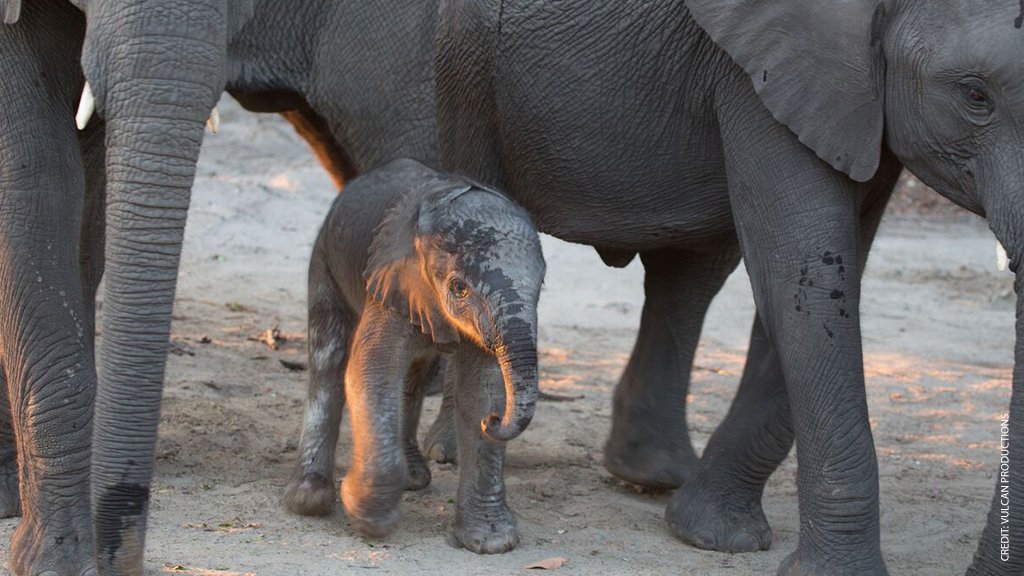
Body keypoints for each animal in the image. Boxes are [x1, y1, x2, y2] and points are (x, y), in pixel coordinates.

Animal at [282, 158, 546, 554]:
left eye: (541, 285)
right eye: (458, 288)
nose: (496, 421)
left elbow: (482, 389)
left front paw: (492, 542)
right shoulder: (390, 279)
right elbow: (371, 370)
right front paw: (367, 516)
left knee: (414, 376)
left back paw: (413, 479)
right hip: (325, 258)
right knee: (329, 357)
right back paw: (309, 501)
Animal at [434, 0, 1024, 574]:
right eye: (975, 96)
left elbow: (827, 274)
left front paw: (712, 536)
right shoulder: (769, 73)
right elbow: (802, 273)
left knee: (692, 270)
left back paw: (651, 473)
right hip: (463, 67)